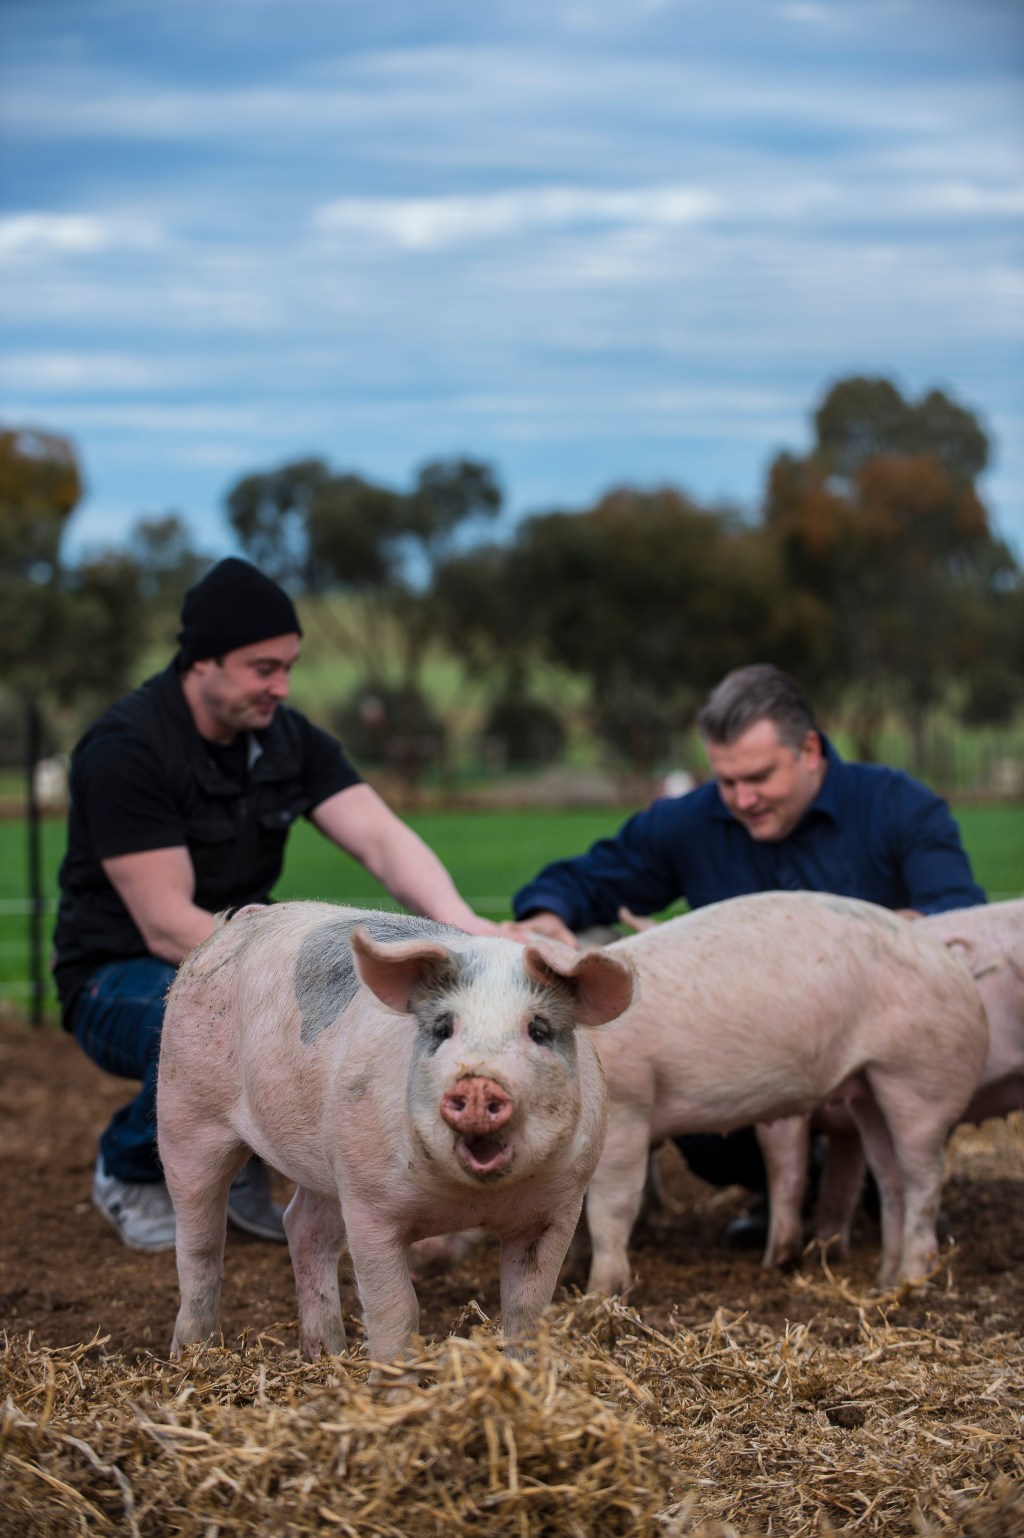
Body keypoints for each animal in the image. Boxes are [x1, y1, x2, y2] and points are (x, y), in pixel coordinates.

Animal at [156, 903, 633, 1371]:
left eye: (538, 1031)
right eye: (442, 1028)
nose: (478, 1084)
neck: (471, 1200)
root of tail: (242, 919)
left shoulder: (559, 1206)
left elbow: (527, 1309)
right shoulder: (370, 1207)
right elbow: (397, 1310)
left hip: (328, 1165)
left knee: (304, 1228)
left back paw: (327, 1354)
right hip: (184, 1109)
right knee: (200, 1240)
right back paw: (192, 1356)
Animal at [582, 891, 988, 1295]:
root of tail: (954, 963)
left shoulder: (628, 1110)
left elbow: (608, 1209)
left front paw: (599, 1294)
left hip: (920, 1080)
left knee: (924, 1180)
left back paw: (910, 1280)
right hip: (870, 1090)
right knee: (891, 1179)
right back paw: (883, 1283)